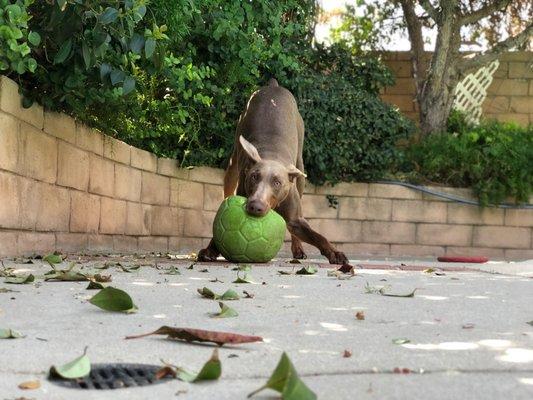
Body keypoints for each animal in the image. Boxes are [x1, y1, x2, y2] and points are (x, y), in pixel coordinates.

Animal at [197, 79, 348, 266]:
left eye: (277, 182)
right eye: (254, 177)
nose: (255, 206)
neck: (271, 155)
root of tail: (273, 86)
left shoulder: (296, 219)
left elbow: (317, 236)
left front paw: (335, 252)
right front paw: (210, 249)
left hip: (300, 172)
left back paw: (298, 250)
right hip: (233, 163)